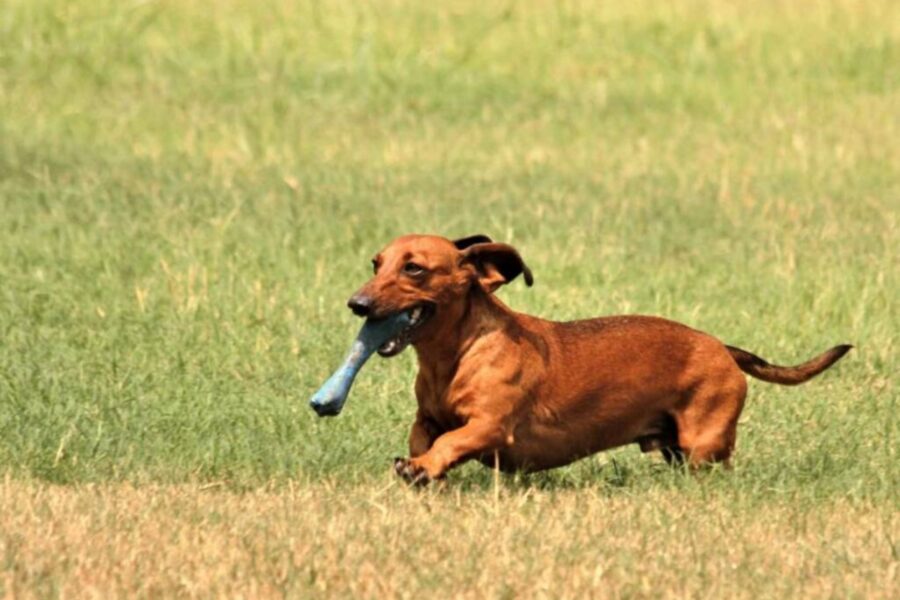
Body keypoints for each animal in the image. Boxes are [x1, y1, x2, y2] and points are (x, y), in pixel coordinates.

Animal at [342, 232, 852, 486]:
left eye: (414, 268)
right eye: (376, 264)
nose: (356, 305)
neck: (457, 354)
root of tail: (723, 346)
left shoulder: (490, 426)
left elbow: (451, 442)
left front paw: (425, 468)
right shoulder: (427, 418)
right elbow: (425, 438)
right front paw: (421, 468)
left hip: (702, 444)